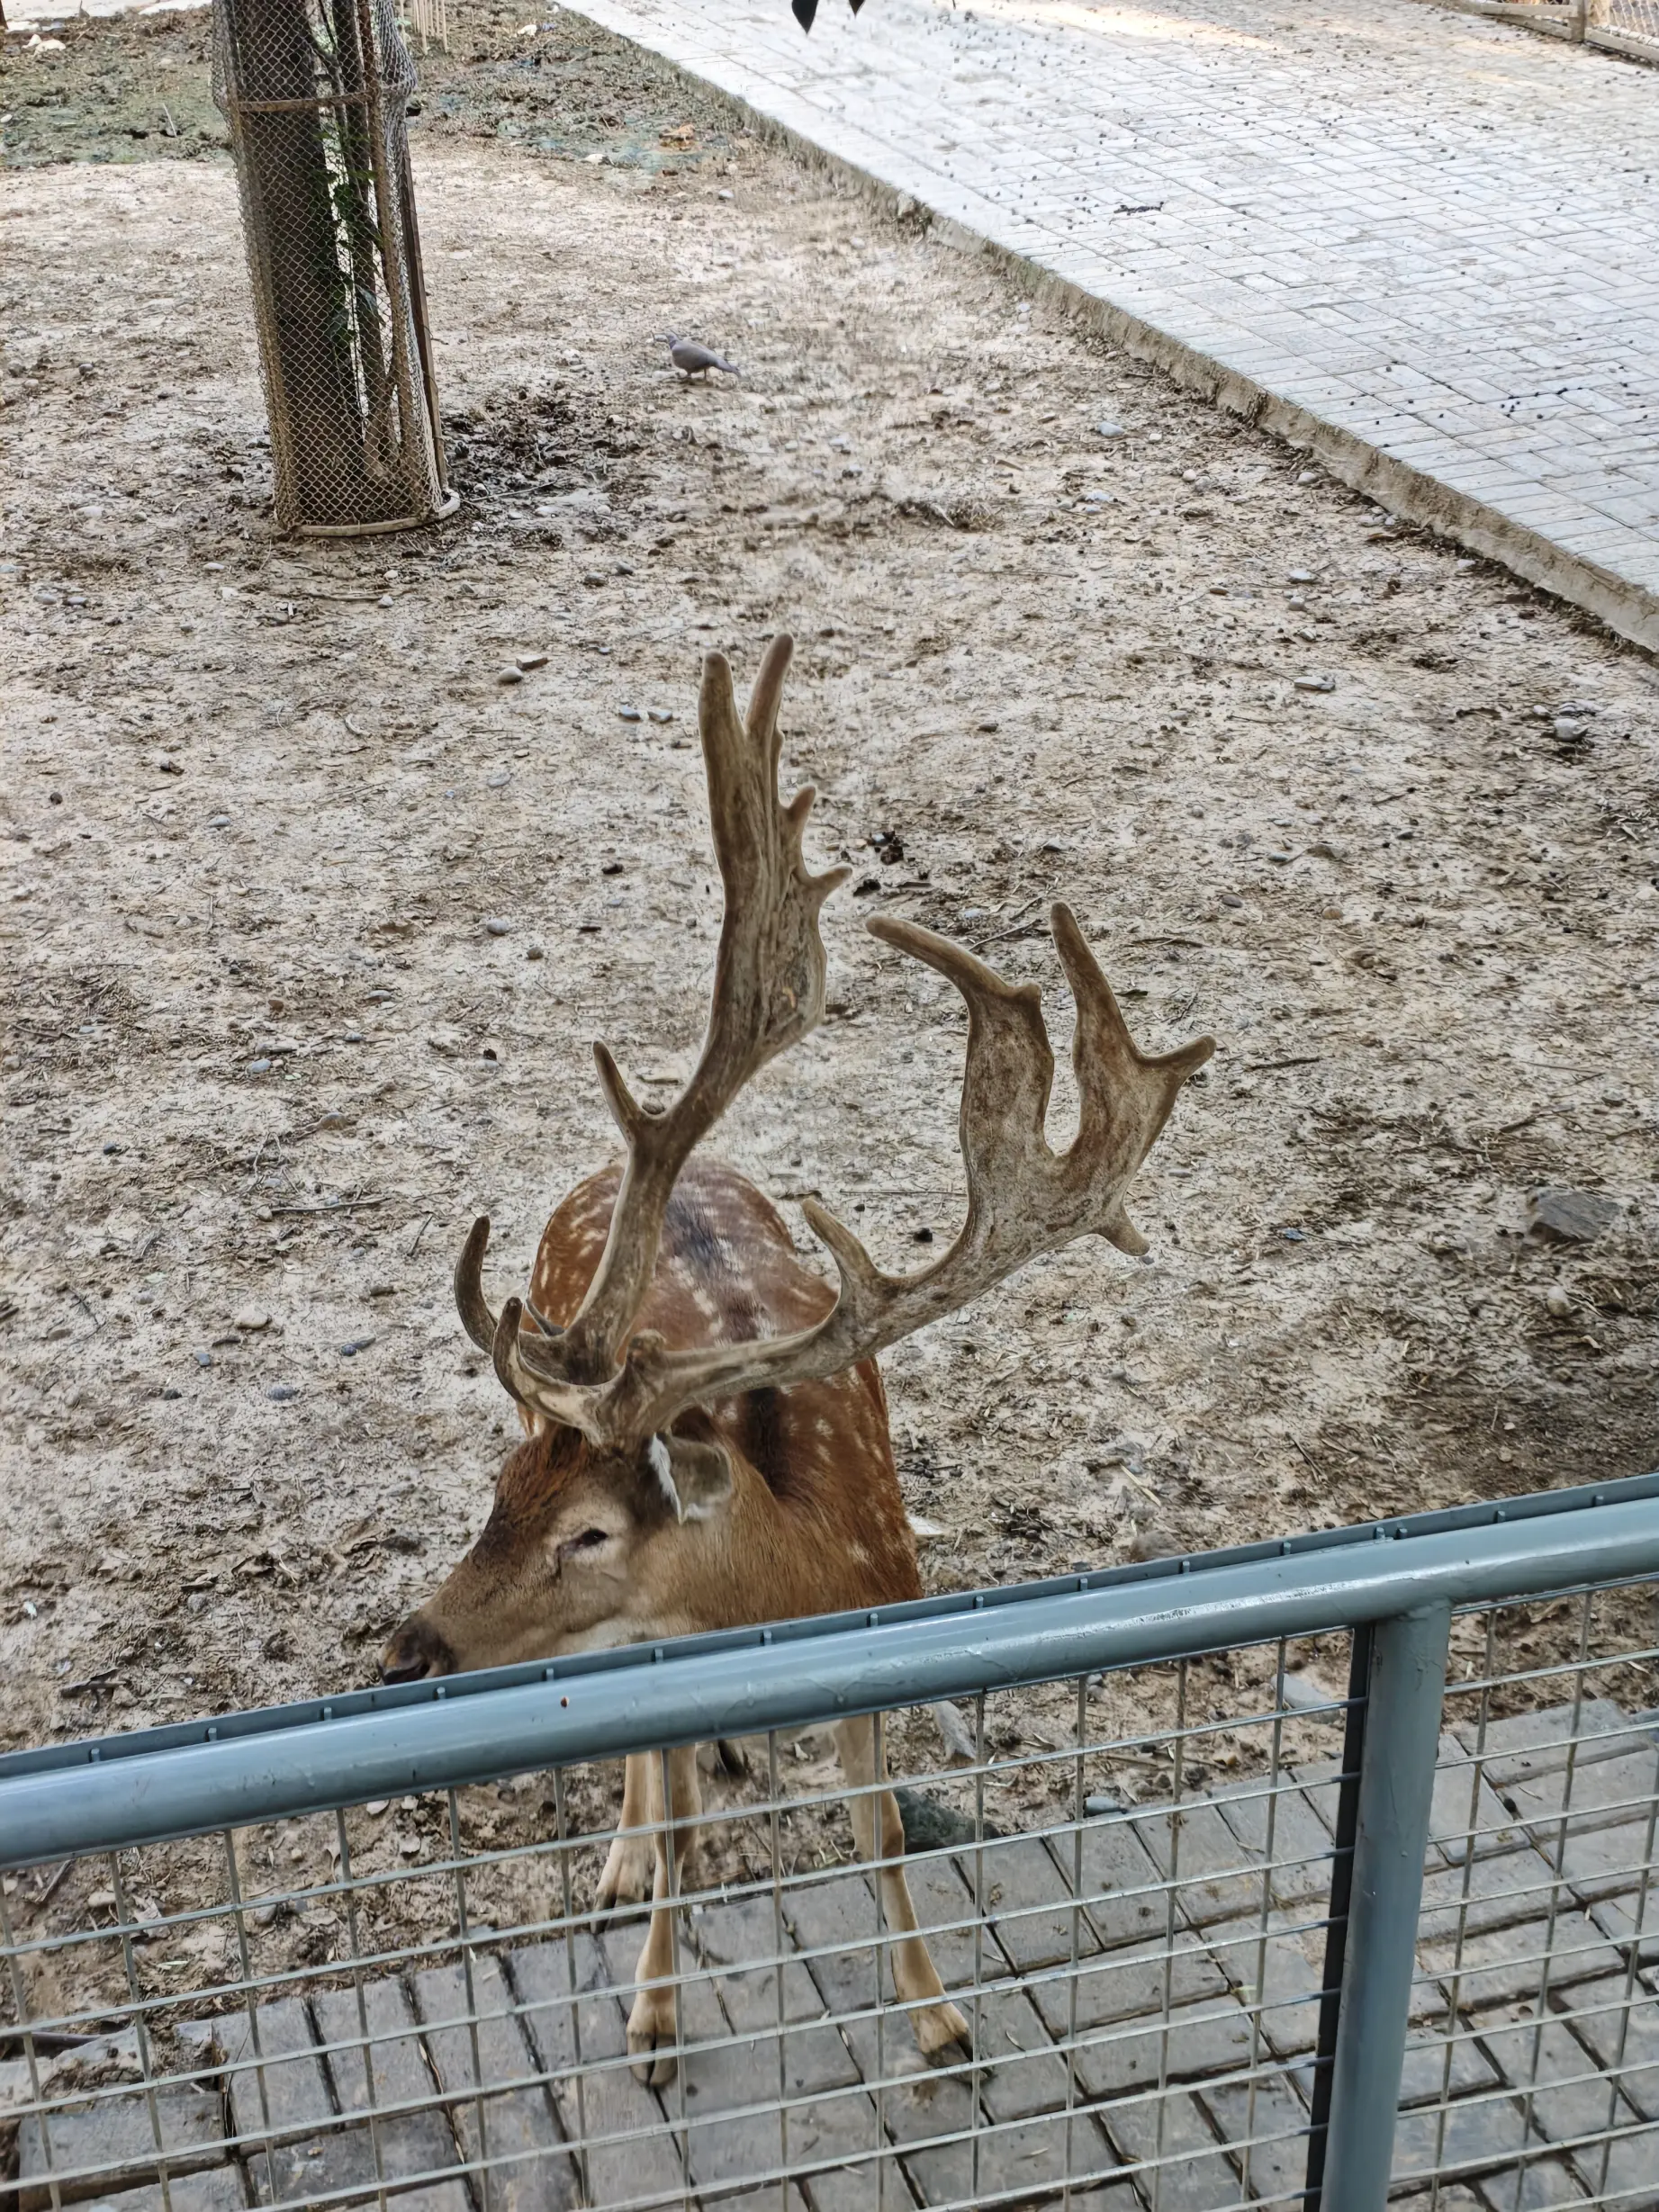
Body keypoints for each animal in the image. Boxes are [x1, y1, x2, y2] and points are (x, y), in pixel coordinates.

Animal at [380, 635, 1214, 2083]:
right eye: (498, 1490)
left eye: (591, 1530)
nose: (407, 1649)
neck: (788, 1589)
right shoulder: (656, 1662)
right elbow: (672, 1828)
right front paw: (653, 2014)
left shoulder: (882, 1633)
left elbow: (881, 1835)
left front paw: (939, 2020)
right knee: (647, 1793)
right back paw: (623, 1858)